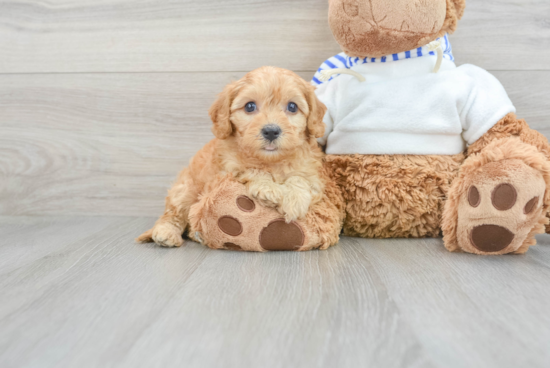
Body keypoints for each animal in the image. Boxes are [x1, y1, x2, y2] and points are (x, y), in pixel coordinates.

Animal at [137, 66, 344, 250]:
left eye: (292, 107)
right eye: (250, 106)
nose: (271, 131)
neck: (271, 161)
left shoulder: (314, 174)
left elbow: (300, 179)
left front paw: (294, 200)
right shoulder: (227, 168)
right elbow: (249, 169)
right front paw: (268, 188)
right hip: (185, 189)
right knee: (174, 214)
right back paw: (166, 233)